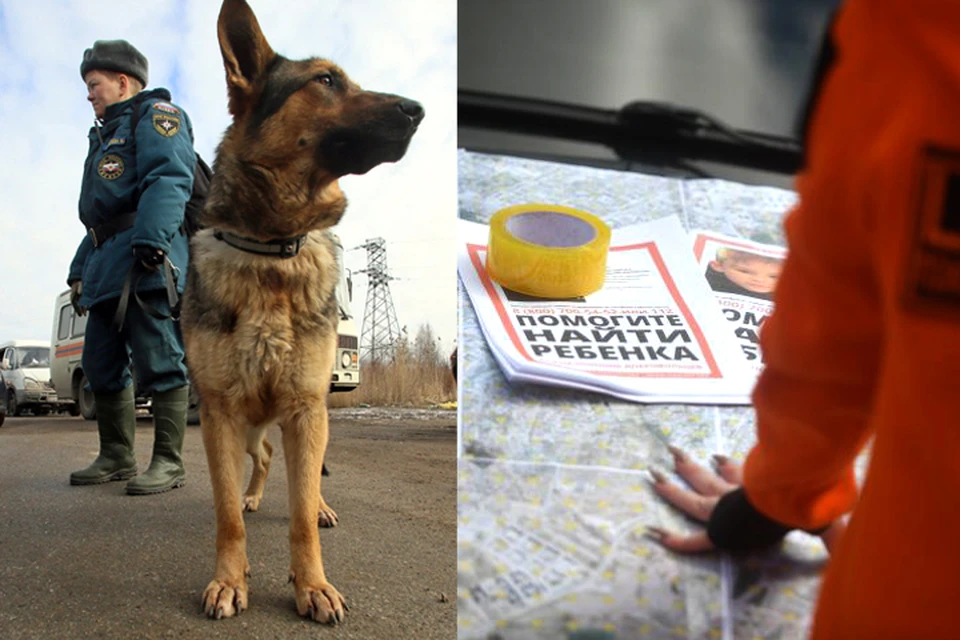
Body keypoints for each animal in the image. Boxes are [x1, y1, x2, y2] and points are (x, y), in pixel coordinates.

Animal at [180, 0, 420, 624]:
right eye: (326, 81)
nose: (418, 110)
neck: (272, 249)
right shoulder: (220, 415)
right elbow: (227, 517)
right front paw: (229, 579)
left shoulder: (308, 409)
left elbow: (301, 514)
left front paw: (312, 584)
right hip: (246, 428)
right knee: (262, 460)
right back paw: (254, 493)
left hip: (308, 420)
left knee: (302, 482)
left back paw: (319, 507)